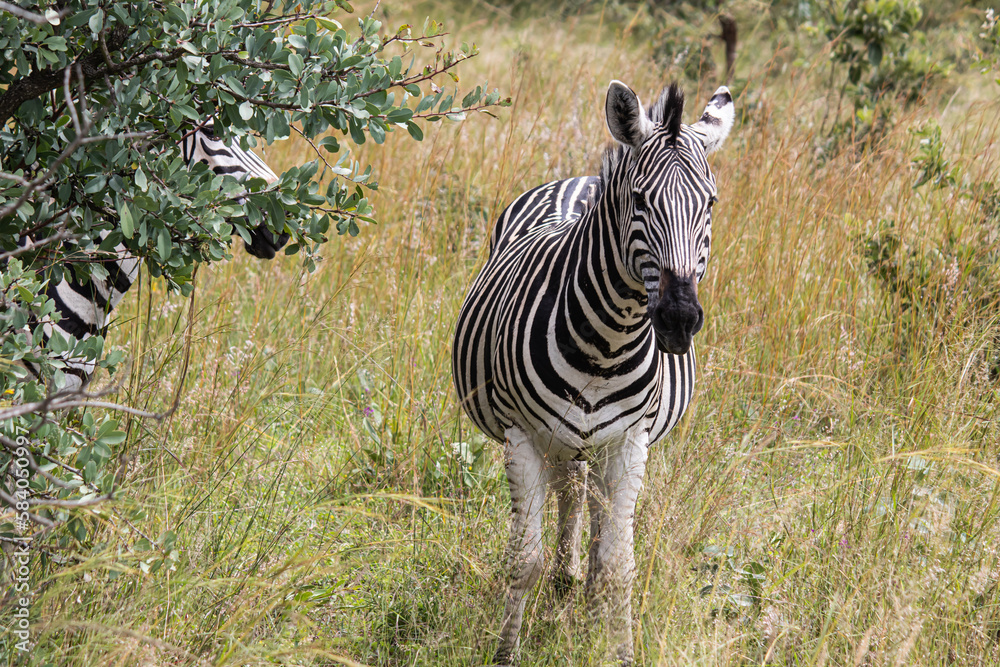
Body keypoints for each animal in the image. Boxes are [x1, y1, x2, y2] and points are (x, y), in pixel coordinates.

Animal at [452, 81, 734, 665]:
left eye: (711, 204)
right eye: (641, 202)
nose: (679, 319)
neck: (607, 342)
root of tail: (581, 179)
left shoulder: (630, 441)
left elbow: (618, 566)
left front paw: (619, 647)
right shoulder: (522, 437)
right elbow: (523, 562)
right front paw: (507, 652)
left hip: (599, 444)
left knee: (593, 512)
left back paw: (577, 588)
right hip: (560, 439)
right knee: (571, 493)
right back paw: (564, 579)